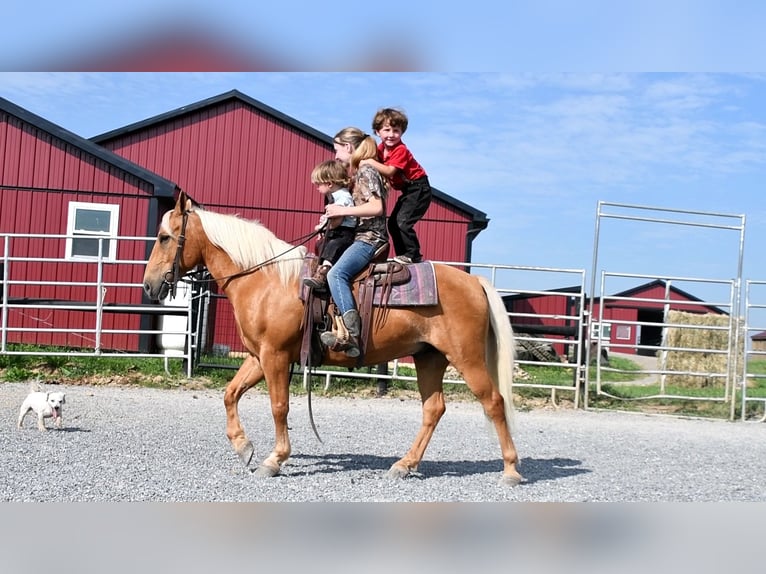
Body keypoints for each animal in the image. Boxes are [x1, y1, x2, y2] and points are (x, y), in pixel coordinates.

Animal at [143, 192, 524, 486]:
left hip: (467, 357)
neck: (267, 279)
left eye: (164, 237)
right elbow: (230, 394)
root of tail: (474, 282)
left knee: (493, 402)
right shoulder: (257, 357)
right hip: (429, 357)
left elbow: (279, 406)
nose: (149, 286)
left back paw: (511, 470)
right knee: (434, 408)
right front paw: (243, 447)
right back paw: (404, 465)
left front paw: (274, 459)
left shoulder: (275, 356)